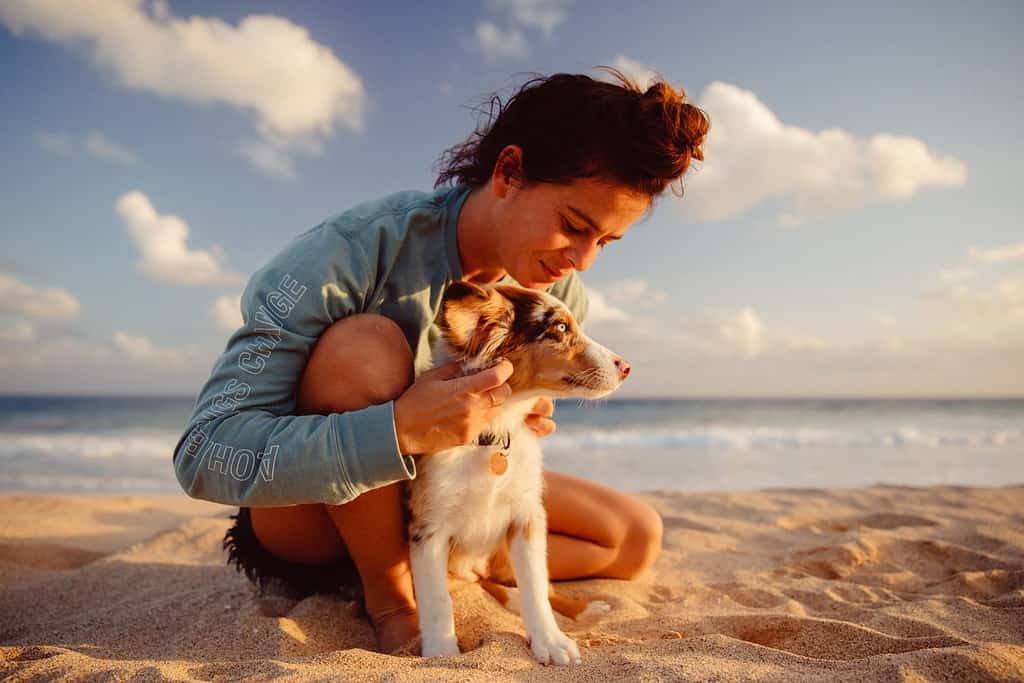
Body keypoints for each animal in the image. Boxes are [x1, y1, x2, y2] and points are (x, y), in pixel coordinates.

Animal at [405, 280, 630, 663]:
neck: (492, 436)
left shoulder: (527, 516)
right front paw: (441, 653)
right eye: (560, 327)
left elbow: (536, 588)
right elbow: (436, 600)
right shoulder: (427, 528)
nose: (627, 366)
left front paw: (551, 642)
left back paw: (587, 609)